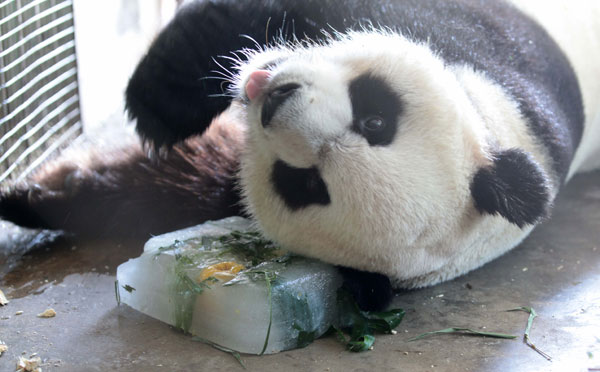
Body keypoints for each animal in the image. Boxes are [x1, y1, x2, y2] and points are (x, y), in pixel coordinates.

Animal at [1, 0, 600, 308]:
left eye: (305, 182)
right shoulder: (486, 40)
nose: (274, 101)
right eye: (375, 119)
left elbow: (171, 185)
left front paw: (35, 197)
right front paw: (160, 101)